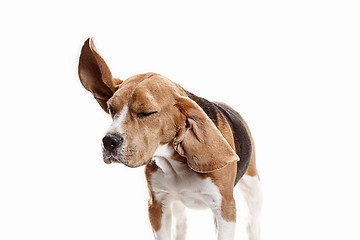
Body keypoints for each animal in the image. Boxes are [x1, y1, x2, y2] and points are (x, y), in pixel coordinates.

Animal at [78, 38, 262, 239]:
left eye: (147, 113)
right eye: (111, 109)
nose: (109, 141)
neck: (174, 163)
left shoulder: (225, 207)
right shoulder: (157, 205)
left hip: (253, 187)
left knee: (253, 223)